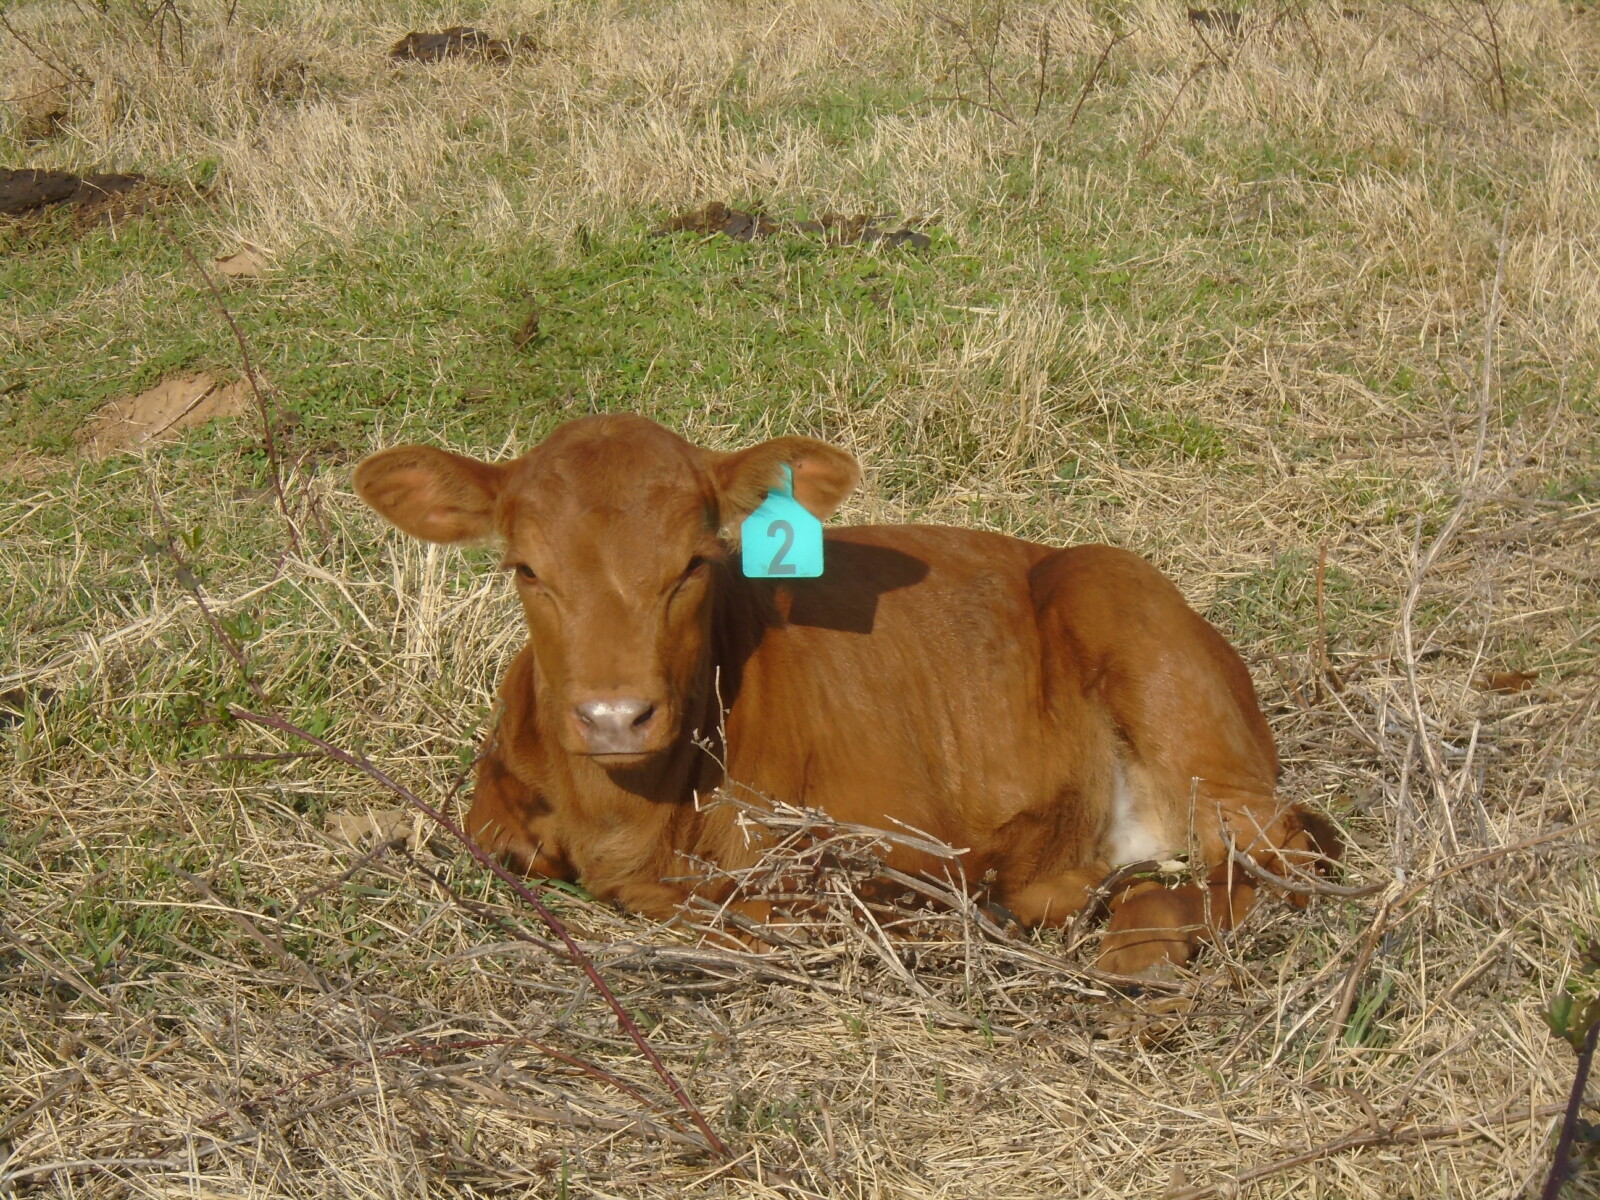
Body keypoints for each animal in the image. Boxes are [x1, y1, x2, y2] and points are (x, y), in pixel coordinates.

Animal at [354, 414, 1338, 975]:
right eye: (526, 569)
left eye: (694, 564)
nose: (613, 716)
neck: (630, 819)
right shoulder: (497, 812)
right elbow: (507, 846)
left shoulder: (890, 836)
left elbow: (755, 908)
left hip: (1137, 630)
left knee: (1277, 858)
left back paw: (1135, 952)